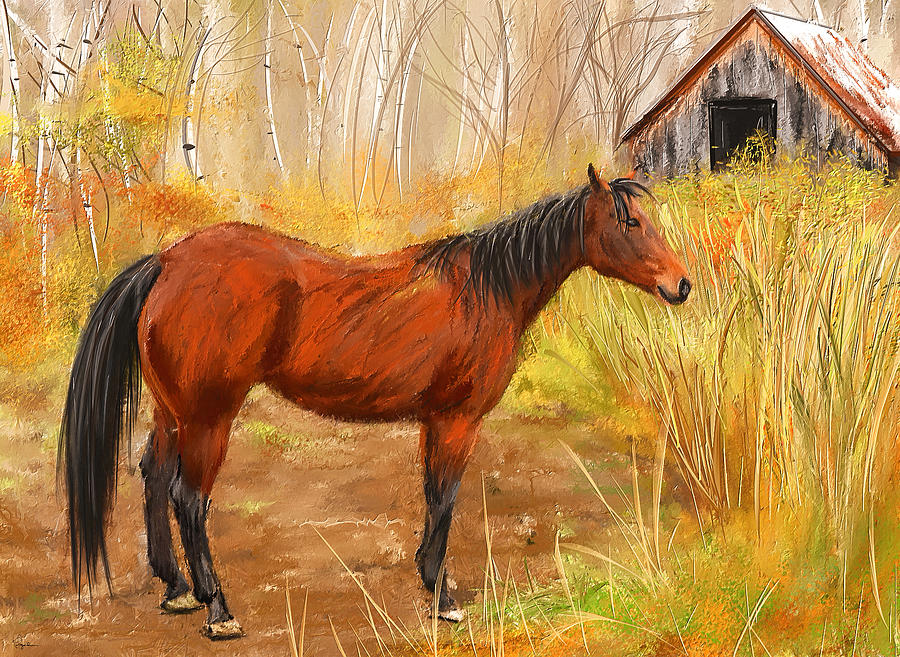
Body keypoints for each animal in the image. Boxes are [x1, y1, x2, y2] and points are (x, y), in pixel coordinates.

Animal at [58, 164, 691, 640]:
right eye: (629, 220)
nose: (681, 284)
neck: (487, 290)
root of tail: (167, 260)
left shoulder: (436, 421)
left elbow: (434, 495)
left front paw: (430, 581)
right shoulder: (457, 420)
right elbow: (446, 499)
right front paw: (444, 596)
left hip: (174, 411)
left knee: (152, 474)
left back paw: (176, 590)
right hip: (210, 416)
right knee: (188, 498)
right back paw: (218, 610)